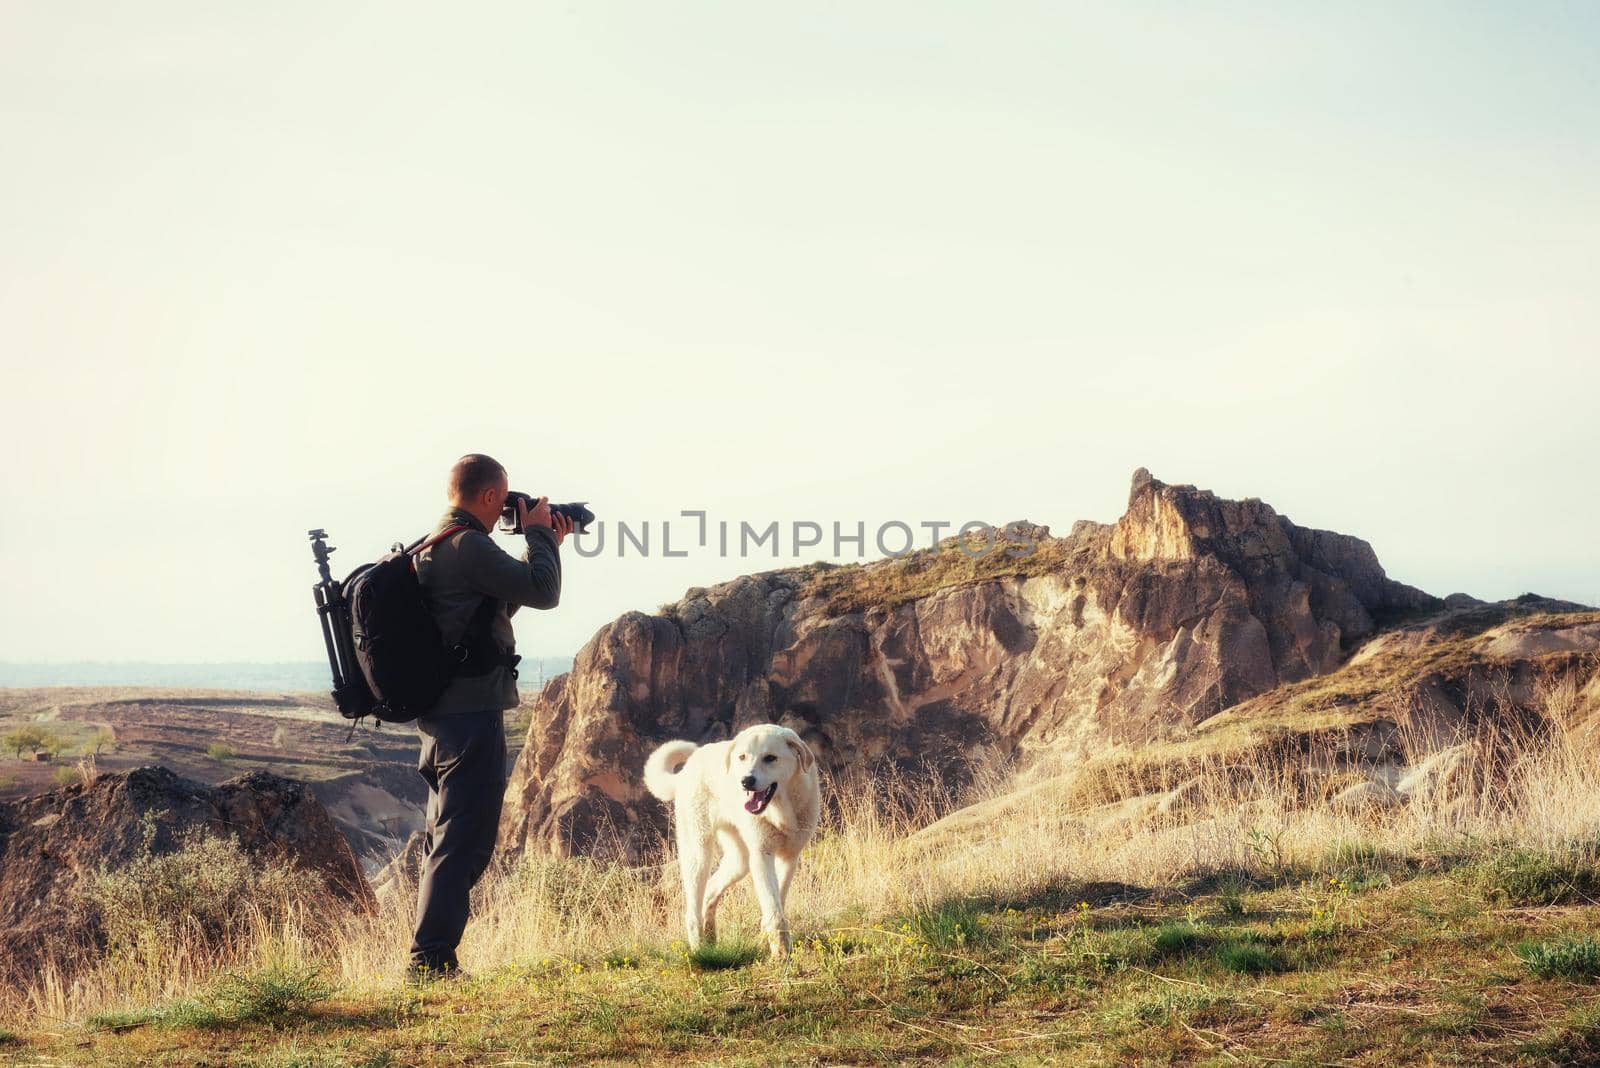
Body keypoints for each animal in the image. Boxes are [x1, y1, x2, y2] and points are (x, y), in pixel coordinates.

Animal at [643, 725, 819, 959]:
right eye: (742, 757)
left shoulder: (790, 857)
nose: (746, 781)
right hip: (699, 854)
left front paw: (771, 941)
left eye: (770, 758)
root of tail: (689, 765)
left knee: (710, 890)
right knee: (692, 910)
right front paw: (781, 953)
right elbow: (773, 906)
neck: (781, 810)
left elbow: (778, 900)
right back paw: (699, 950)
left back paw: (710, 938)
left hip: (739, 861)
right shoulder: (761, 855)